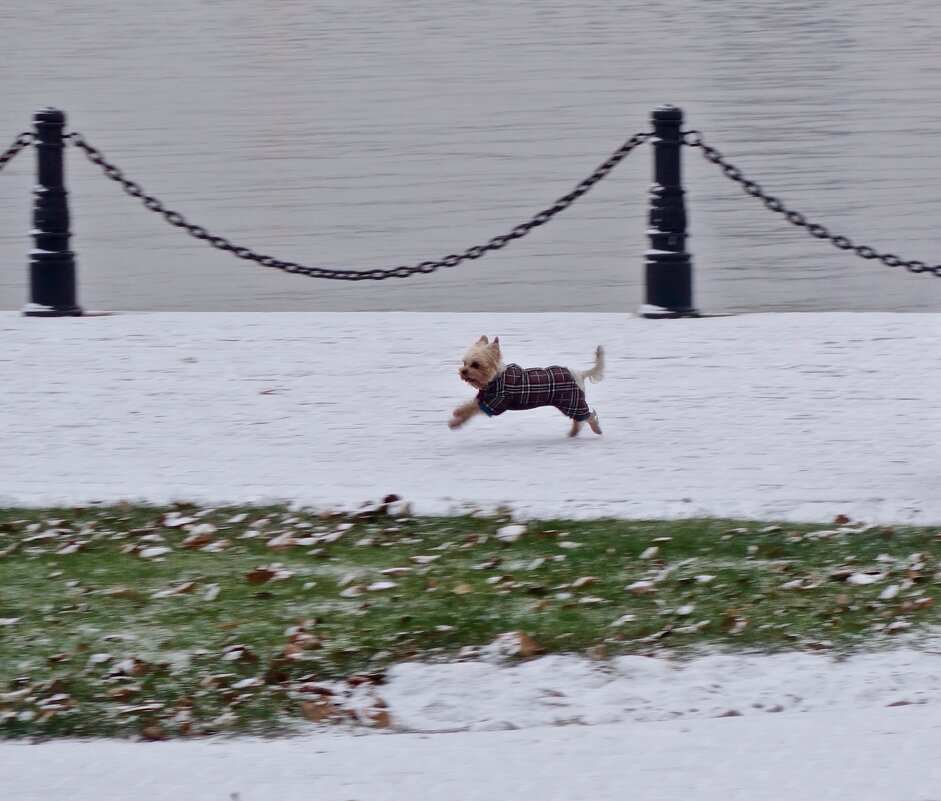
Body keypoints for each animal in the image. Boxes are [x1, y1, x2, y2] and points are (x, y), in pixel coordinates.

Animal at [446, 338, 604, 438]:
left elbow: (471, 408)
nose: (463, 371)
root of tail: (579, 373)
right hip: (569, 402)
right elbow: (470, 405)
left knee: (589, 415)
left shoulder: (496, 402)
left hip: (573, 401)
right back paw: (573, 433)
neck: (495, 378)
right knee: (579, 419)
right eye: (464, 363)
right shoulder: (485, 398)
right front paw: (457, 416)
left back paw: (596, 430)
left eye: (475, 365)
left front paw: (455, 419)